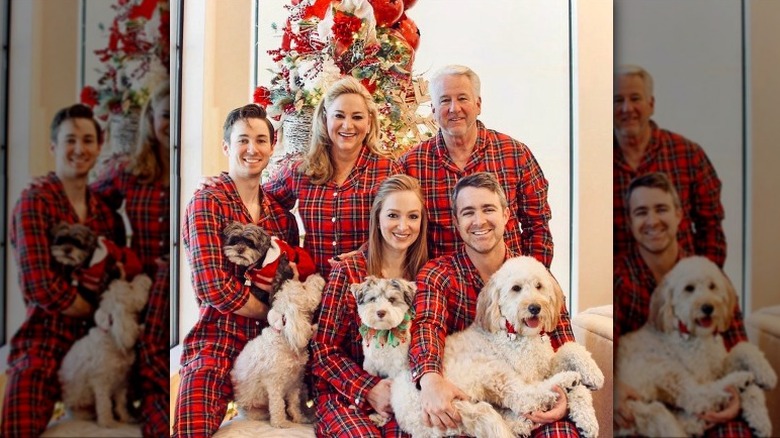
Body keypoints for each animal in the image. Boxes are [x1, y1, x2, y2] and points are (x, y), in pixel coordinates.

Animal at [58, 274, 152, 428]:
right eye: (131, 286)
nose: (145, 276)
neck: (112, 337)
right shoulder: (101, 382)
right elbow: (105, 404)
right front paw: (107, 422)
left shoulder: (122, 381)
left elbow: (121, 402)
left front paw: (125, 417)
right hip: (75, 398)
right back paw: (87, 415)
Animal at [233, 274, 328, 428]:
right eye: (303, 287)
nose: (317, 275)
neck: (285, 339)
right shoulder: (274, 384)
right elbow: (278, 405)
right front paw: (280, 423)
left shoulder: (295, 382)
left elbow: (294, 403)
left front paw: (298, 418)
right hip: (253, 408)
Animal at [390, 256, 604, 438]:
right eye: (516, 288)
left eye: (539, 286)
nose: (535, 307)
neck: (518, 334)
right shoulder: (528, 374)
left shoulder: (545, 365)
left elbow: (571, 348)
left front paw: (592, 381)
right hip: (489, 369)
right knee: (525, 398)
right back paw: (566, 381)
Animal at [620, 255, 776, 436]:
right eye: (689, 288)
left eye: (712, 286)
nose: (707, 307)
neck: (699, 337)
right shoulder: (702, 375)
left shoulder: (719, 366)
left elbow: (743, 347)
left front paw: (766, 376)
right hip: (663, 369)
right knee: (696, 398)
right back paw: (739, 381)